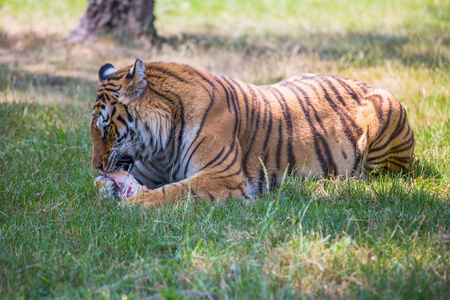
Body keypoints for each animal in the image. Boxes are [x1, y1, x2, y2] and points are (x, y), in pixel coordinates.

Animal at [90, 60, 414, 207]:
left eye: (106, 128)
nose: (96, 164)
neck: (161, 147)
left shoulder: (222, 176)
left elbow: (174, 191)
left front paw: (133, 204)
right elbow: (98, 186)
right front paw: (109, 189)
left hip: (384, 115)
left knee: (373, 177)